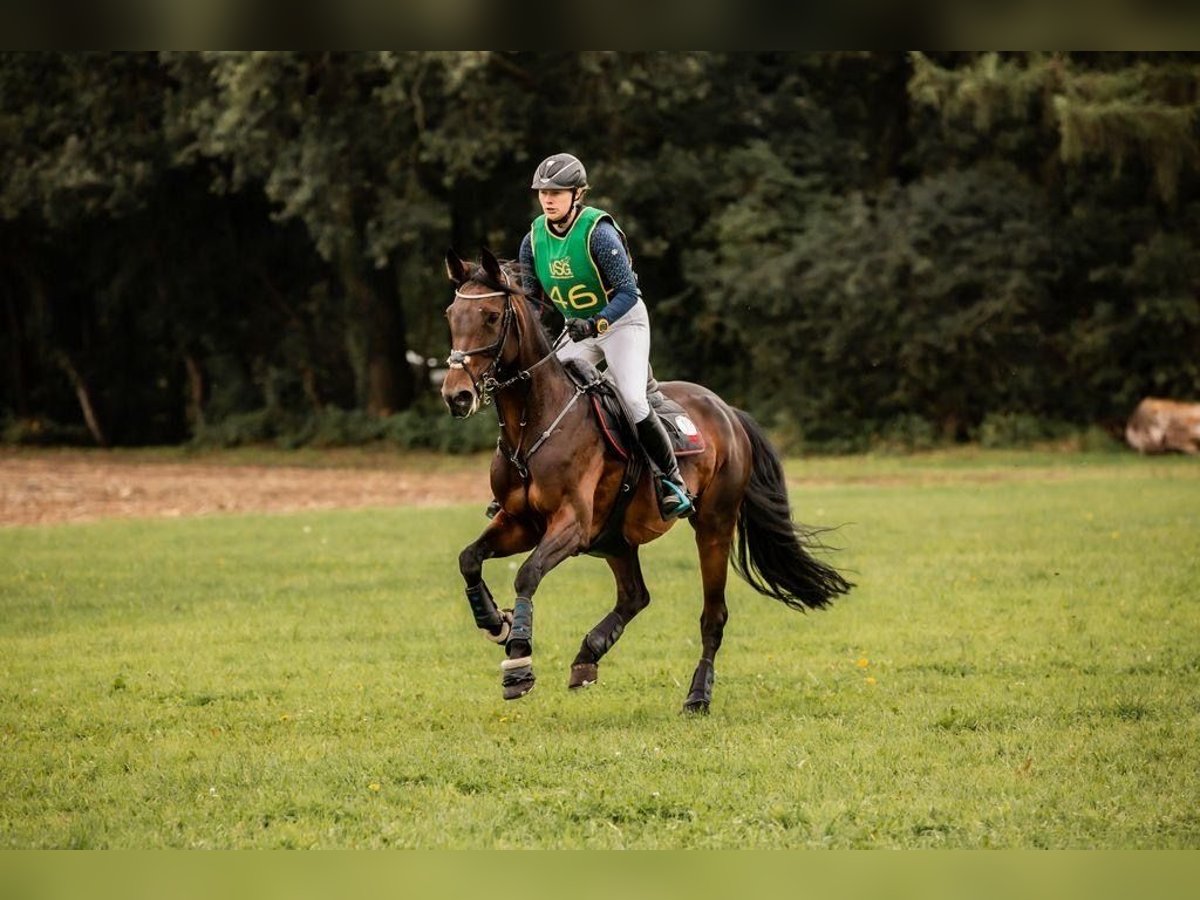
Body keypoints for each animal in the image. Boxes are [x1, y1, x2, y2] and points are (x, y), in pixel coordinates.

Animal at [444, 250, 854, 715]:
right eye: (451, 315)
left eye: (492, 316)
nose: (456, 395)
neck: (533, 426)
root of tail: (727, 411)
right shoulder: (519, 523)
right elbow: (469, 558)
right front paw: (495, 621)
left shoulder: (570, 525)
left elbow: (527, 575)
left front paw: (518, 662)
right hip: (614, 539)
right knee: (635, 595)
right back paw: (588, 655)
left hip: (712, 526)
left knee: (713, 615)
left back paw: (697, 695)